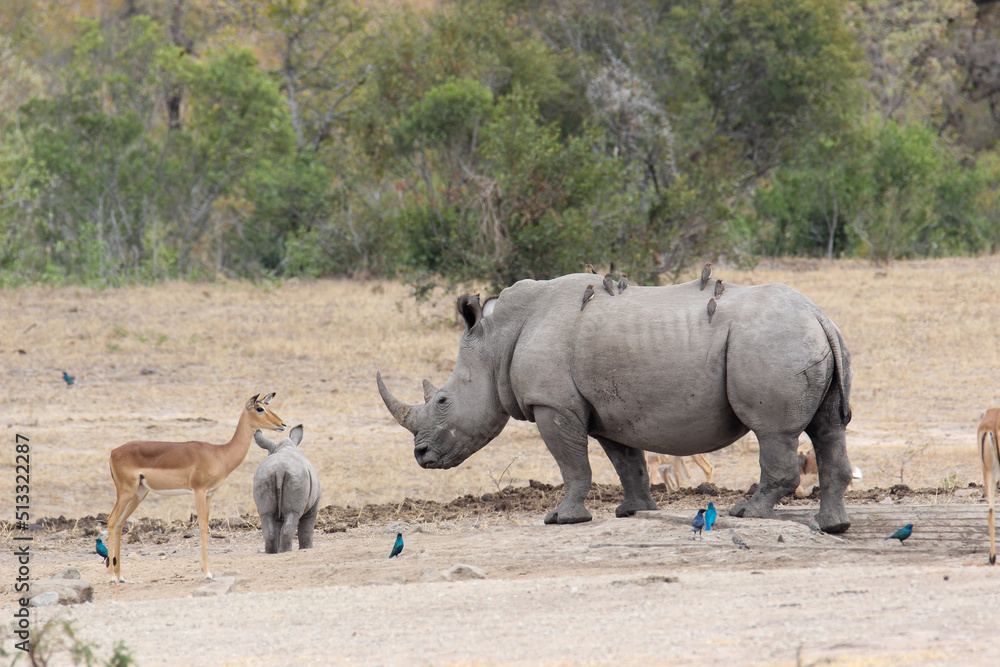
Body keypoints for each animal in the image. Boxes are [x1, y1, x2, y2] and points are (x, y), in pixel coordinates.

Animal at [253, 425, 322, 553]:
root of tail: (280, 469)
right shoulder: (314, 505)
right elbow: (307, 527)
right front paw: (307, 548)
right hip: (297, 477)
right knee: (292, 515)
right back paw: (287, 551)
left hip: (264, 476)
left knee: (266, 515)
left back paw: (271, 553)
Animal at [377, 273, 855, 533]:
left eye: (442, 400)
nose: (421, 455)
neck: (496, 341)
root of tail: (820, 316)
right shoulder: (607, 409)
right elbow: (627, 462)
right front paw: (634, 511)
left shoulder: (552, 405)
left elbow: (572, 464)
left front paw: (561, 519)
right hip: (804, 339)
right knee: (829, 428)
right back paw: (834, 526)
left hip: (773, 342)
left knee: (774, 431)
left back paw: (747, 514)